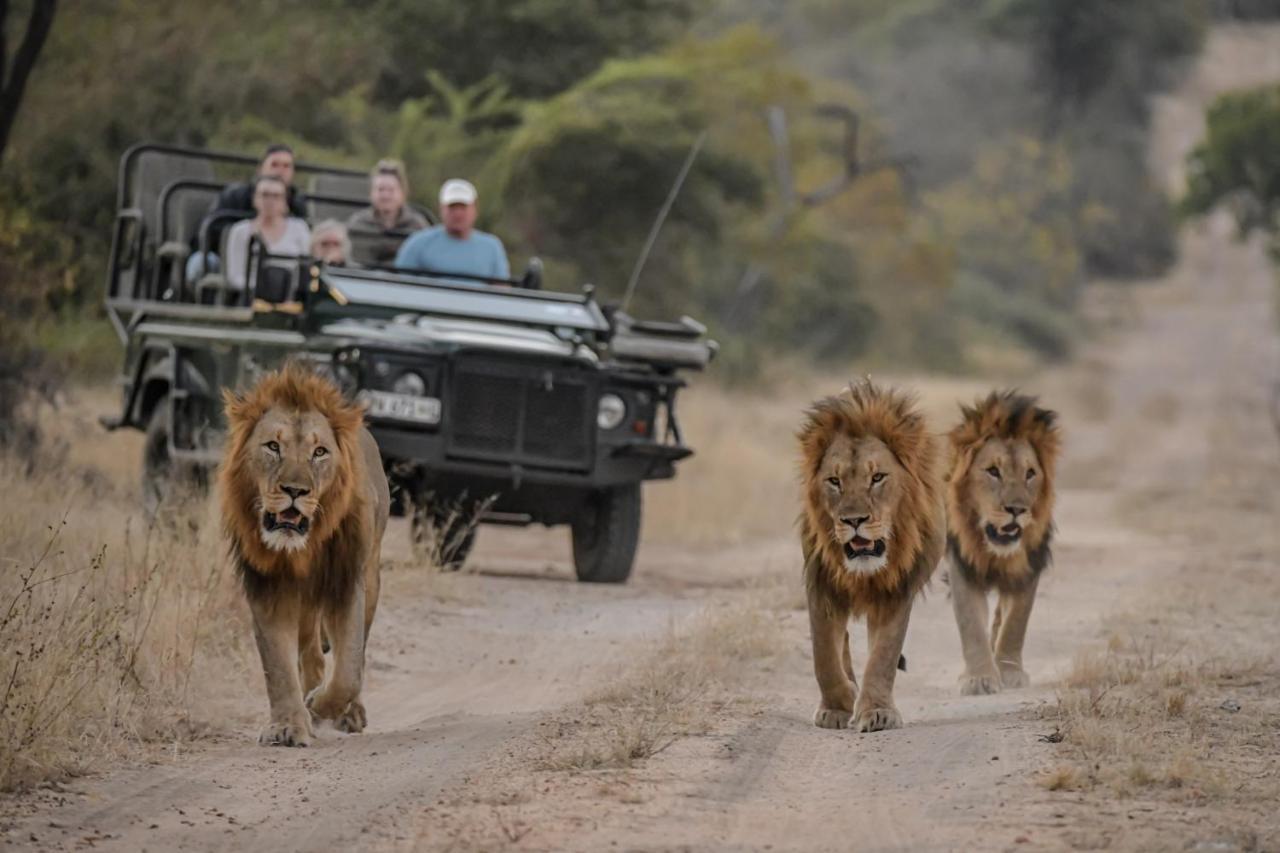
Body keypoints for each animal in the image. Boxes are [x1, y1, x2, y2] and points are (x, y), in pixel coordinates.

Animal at [220, 361, 389, 742]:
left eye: (320, 452)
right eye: (272, 446)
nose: (295, 490)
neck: (302, 548)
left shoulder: (346, 582)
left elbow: (348, 670)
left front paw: (322, 706)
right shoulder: (268, 586)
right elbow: (278, 666)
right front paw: (288, 725)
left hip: (371, 578)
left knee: (356, 654)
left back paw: (348, 712)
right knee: (310, 654)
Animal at [947, 389, 1064, 696]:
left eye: (1030, 473)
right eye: (992, 471)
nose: (1017, 509)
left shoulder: (1028, 567)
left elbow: (1015, 622)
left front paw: (1009, 672)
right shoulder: (962, 564)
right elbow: (970, 623)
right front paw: (979, 678)